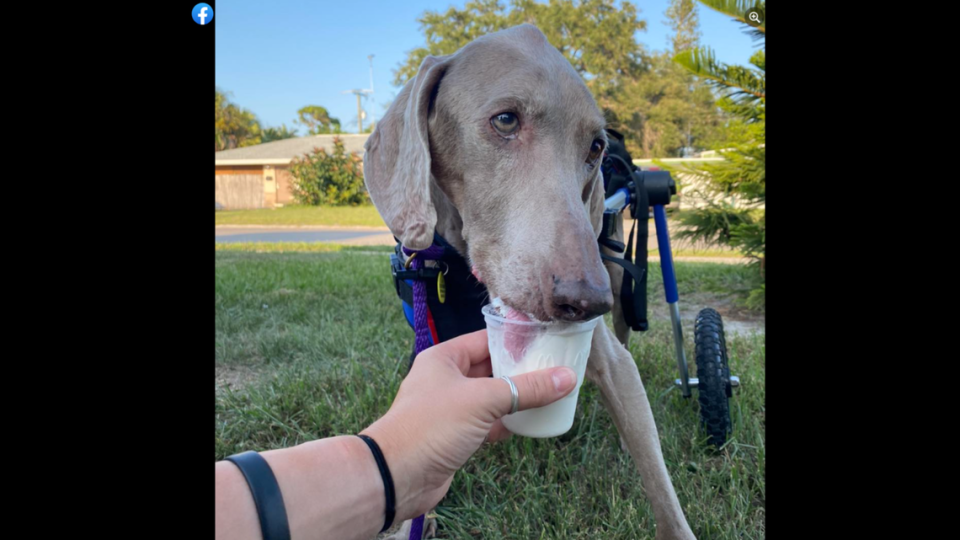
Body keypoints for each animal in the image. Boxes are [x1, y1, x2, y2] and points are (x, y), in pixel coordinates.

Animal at [364, 23, 692, 536]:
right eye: (505, 120)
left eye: (594, 146)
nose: (585, 300)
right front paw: (414, 516)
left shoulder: (605, 348)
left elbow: (659, 481)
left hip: (618, 276)